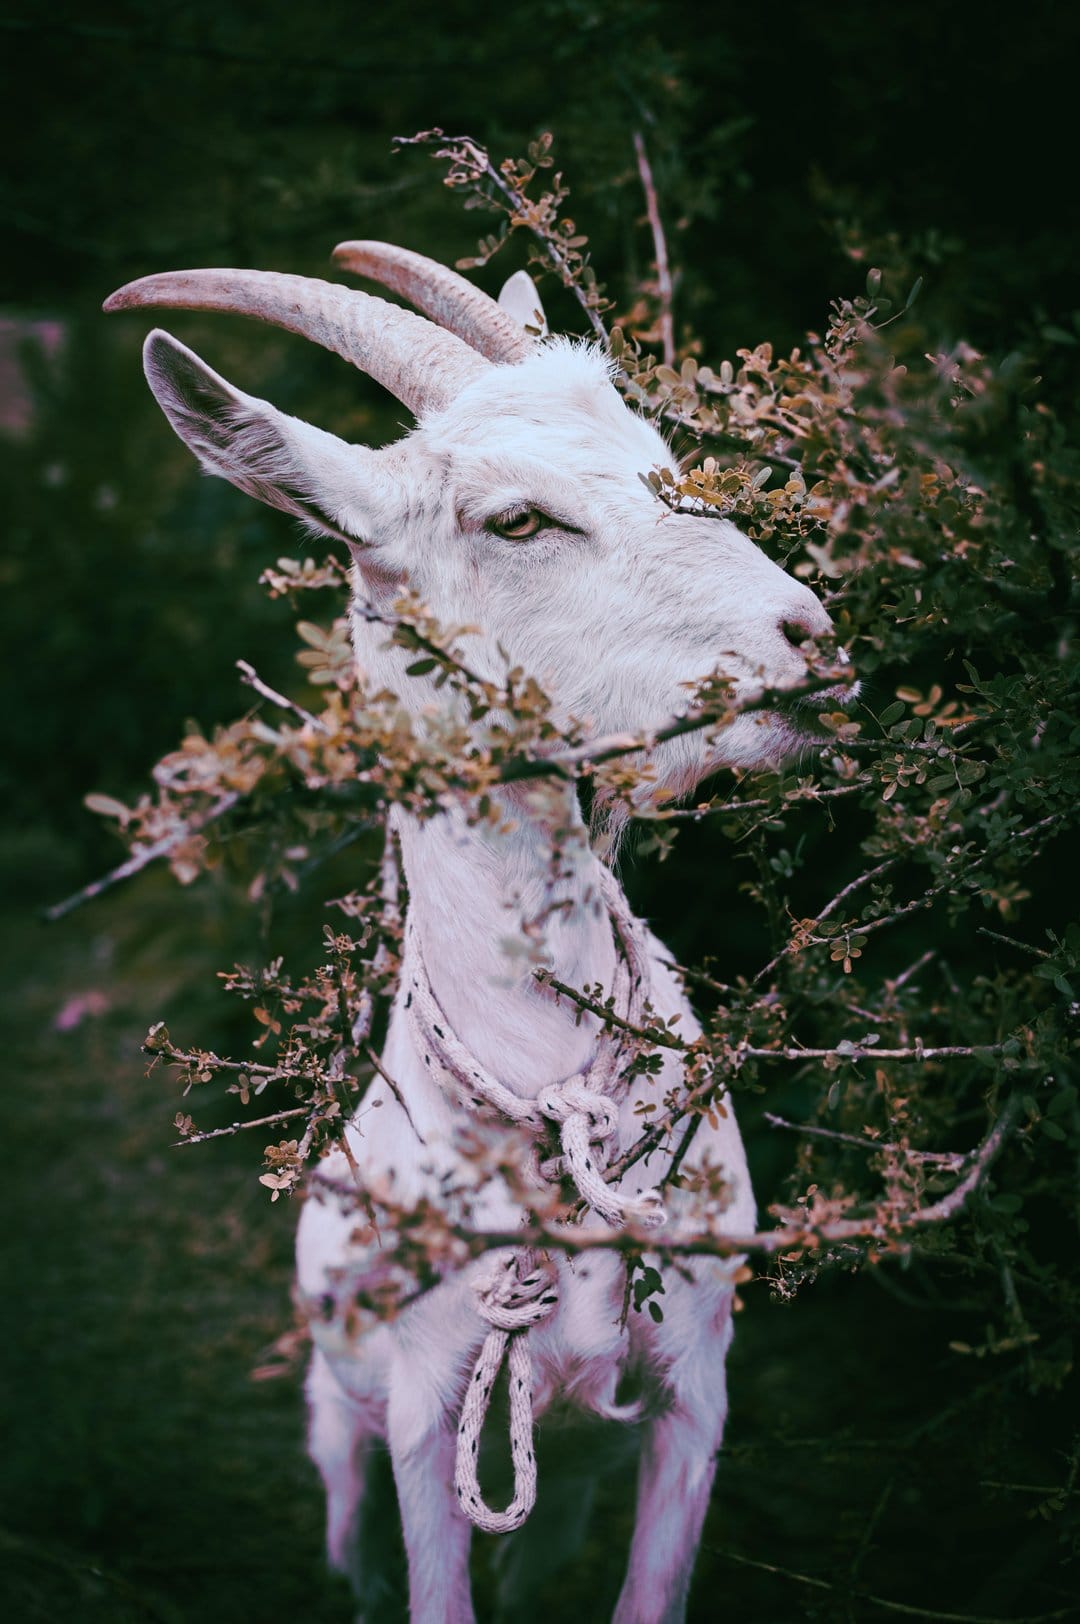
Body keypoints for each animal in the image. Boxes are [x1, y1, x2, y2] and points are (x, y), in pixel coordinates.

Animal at [105, 241, 843, 1623]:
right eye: (517, 520)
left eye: (663, 465)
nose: (811, 644)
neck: (547, 1093)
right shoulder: (421, 1401)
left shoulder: (693, 1387)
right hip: (334, 1415)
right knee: (345, 1518)